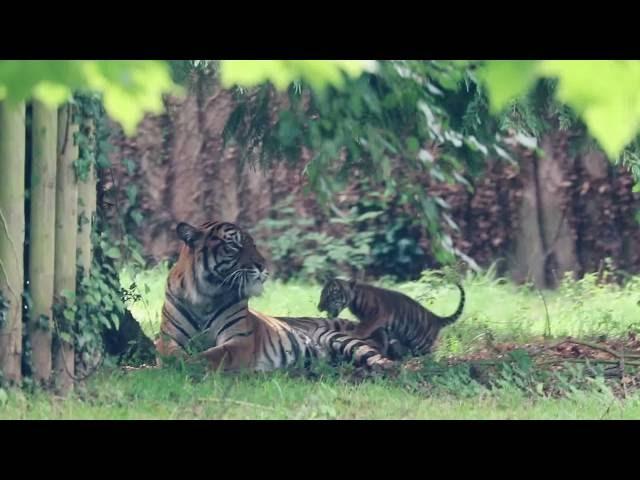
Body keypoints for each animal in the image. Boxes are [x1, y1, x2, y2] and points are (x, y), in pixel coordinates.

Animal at [155, 221, 396, 376]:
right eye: (234, 245)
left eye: (253, 244)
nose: (263, 266)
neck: (205, 295)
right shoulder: (168, 337)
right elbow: (170, 353)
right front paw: (173, 363)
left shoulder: (239, 341)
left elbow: (212, 355)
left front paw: (189, 364)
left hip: (337, 337)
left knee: (381, 359)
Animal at [308, 278, 464, 360]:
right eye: (322, 294)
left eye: (330, 295)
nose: (319, 307)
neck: (353, 299)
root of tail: (436, 318)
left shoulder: (377, 315)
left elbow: (363, 329)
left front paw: (352, 333)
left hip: (422, 343)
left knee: (431, 353)